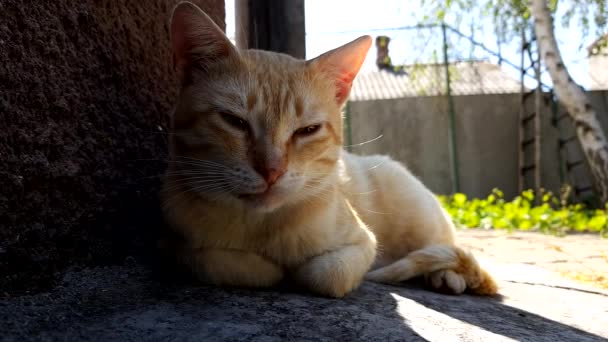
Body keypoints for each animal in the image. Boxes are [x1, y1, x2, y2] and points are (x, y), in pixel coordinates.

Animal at [163, 2, 498, 296]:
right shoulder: (178, 243)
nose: (272, 170)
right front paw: (268, 269)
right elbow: (216, 261)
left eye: (307, 130)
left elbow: (325, 274)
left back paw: (447, 275)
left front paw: (296, 272)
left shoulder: (364, 243)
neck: (263, 226)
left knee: (445, 246)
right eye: (234, 121)